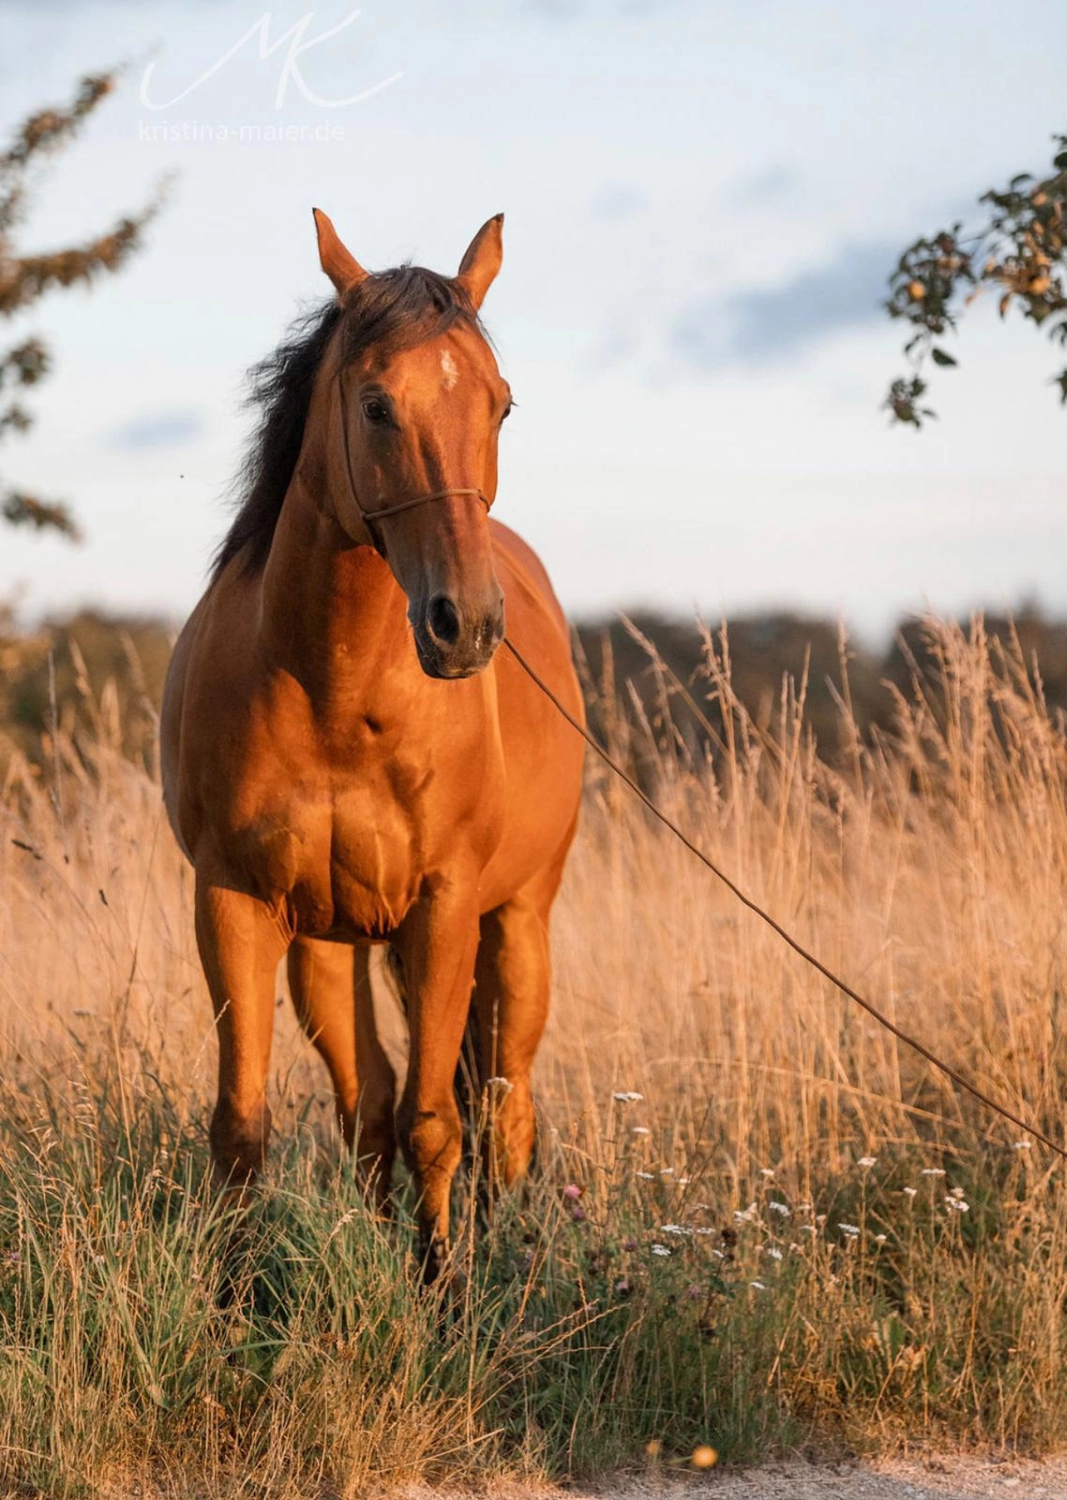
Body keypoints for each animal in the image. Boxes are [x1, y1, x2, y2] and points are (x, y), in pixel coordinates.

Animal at [160, 205, 585, 1272]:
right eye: (377, 404)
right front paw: (234, 1299)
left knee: (502, 1106)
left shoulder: (444, 908)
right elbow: (245, 1126)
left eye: (501, 406)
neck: (336, 695)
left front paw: (443, 1290)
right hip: (330, 945)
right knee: (371, 1104)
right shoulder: (235, 906)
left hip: (516, 927)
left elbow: (436, 1122)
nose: (465, 625)